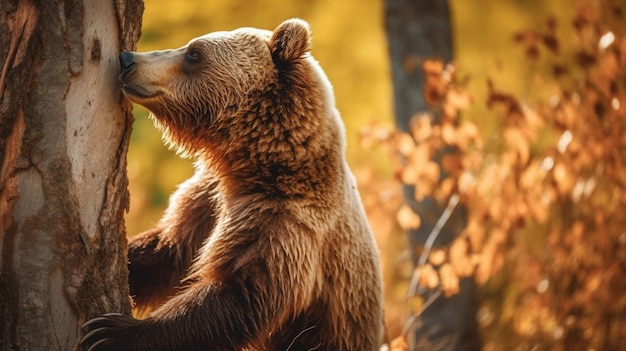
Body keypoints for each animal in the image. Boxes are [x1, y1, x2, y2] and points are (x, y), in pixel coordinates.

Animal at [80, 19, 382, 351]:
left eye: (194, 53)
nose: (128, 59)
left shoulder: (285, 220)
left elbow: (241, 291)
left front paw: (112, 332)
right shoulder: (208, 199)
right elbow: (169, 249)